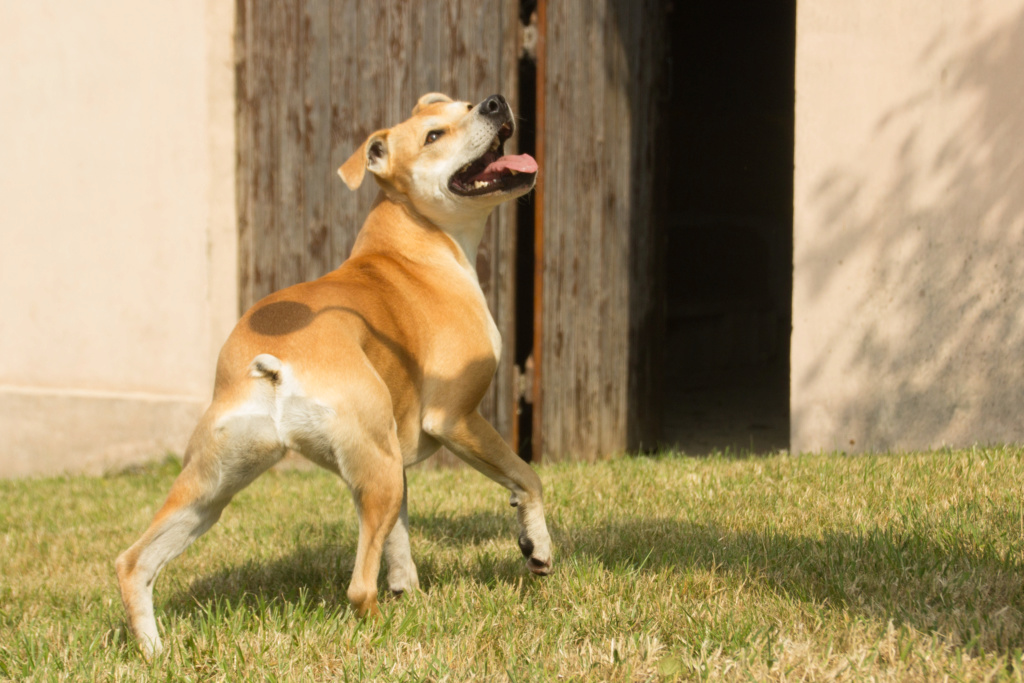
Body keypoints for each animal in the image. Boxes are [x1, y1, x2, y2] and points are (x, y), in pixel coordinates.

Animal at [114, 92, 552, 655]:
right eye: (434, 135)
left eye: (465, 104)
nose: (496, 102)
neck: (411, 244)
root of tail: (275, 365)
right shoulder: (456, 419)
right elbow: (527, 476)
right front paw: (537, 547)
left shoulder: (394, 461)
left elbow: (399, 542)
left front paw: (410, 592)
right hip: (370, 472)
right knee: (358, 588)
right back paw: (386, 634)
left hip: (212, 489)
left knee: (134, 562)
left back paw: (154, 652)